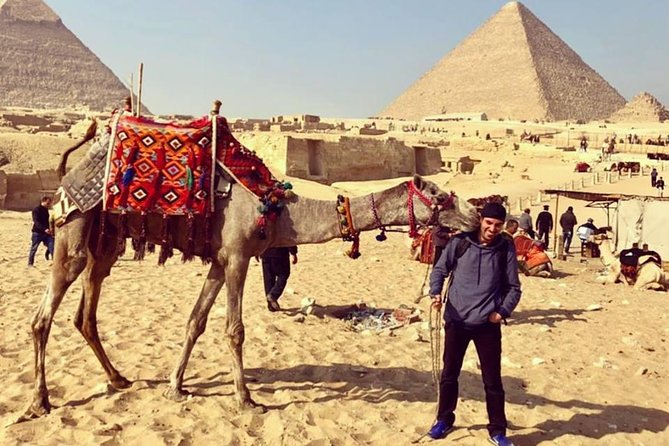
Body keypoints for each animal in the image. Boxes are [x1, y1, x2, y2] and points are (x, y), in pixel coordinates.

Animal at [22, 127, 479, 420]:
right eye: (440, 197)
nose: (475, 218)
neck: (277, 209)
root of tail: (66, 174)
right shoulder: (239, 256)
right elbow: (234, 330)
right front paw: (246, 399)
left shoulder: (219, 260)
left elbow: (195, 322)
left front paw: (175, 385)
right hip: (72, 234)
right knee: (42, 318)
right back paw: (40, 402)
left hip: (104, 243)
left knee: (85, 314)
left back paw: (118, 379)